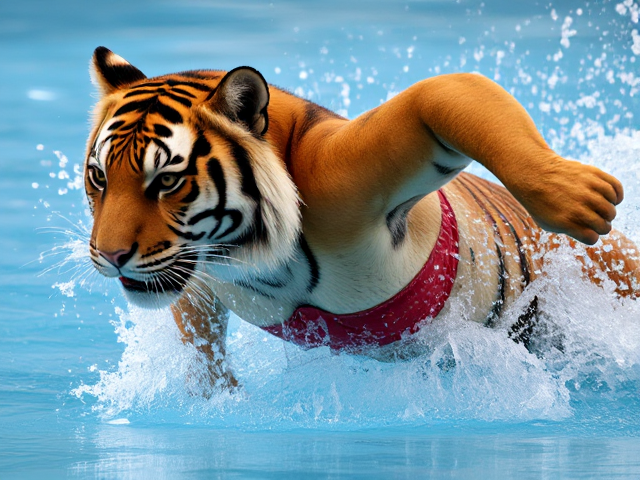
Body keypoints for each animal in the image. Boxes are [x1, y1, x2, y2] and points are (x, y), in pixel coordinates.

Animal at [85, 46, 640, 389]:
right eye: (99, 178)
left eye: (166, 181)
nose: (110, 257)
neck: (245, 252)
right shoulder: (192, 274)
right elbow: (198, 333)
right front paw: (216, 396)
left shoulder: (342, 180)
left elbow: (446, 89)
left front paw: (574, 194)